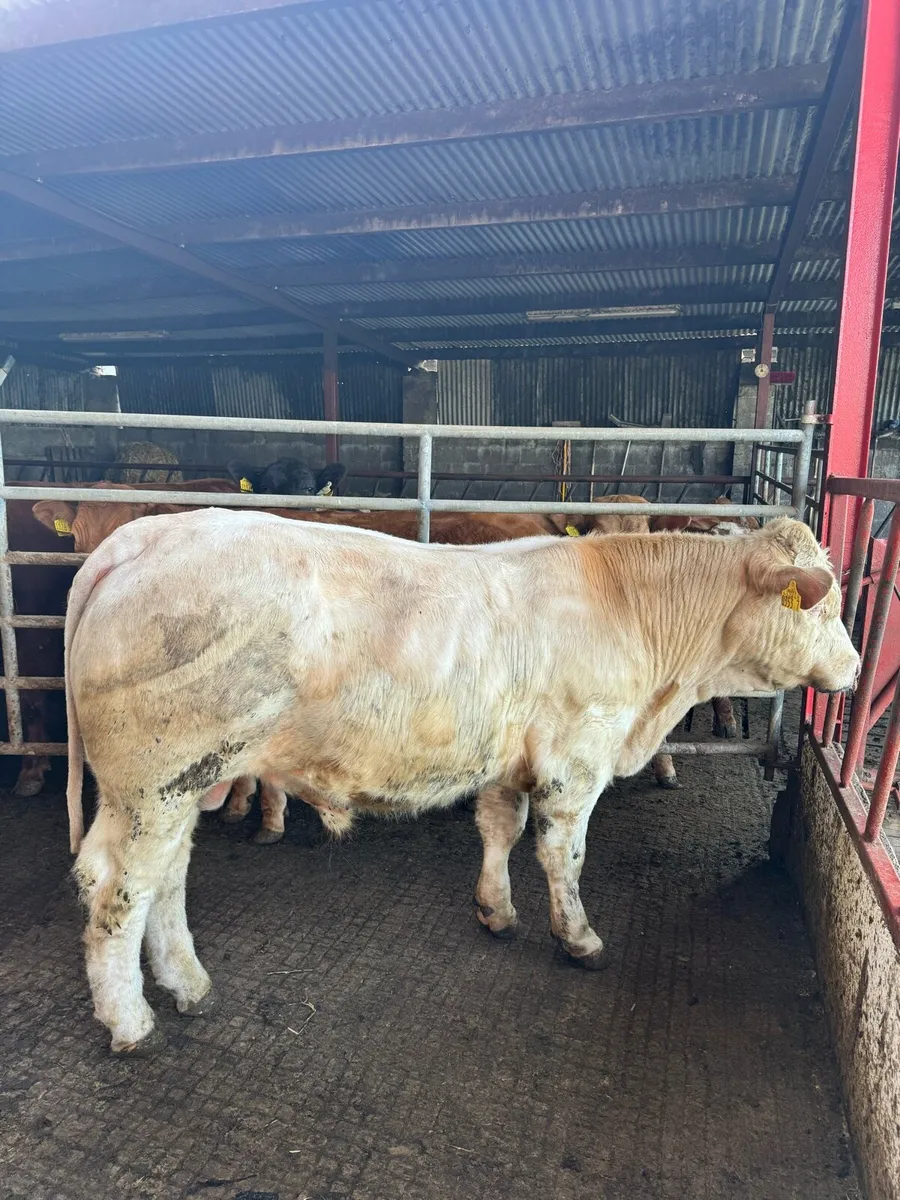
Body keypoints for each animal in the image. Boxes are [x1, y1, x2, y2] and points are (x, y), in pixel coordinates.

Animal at [62, 509, 858, 1054]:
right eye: (822, 604)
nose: (853, 669)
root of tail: (149, 534)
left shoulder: (511, 761)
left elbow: (500, 830)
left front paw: (495, 911)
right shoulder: (576, 761)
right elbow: (563, 856)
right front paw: (579, 938)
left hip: (178, 786)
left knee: (165, 879)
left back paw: (188, 985)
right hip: (155, 783)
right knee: (120, 891)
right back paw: (131, 1021)